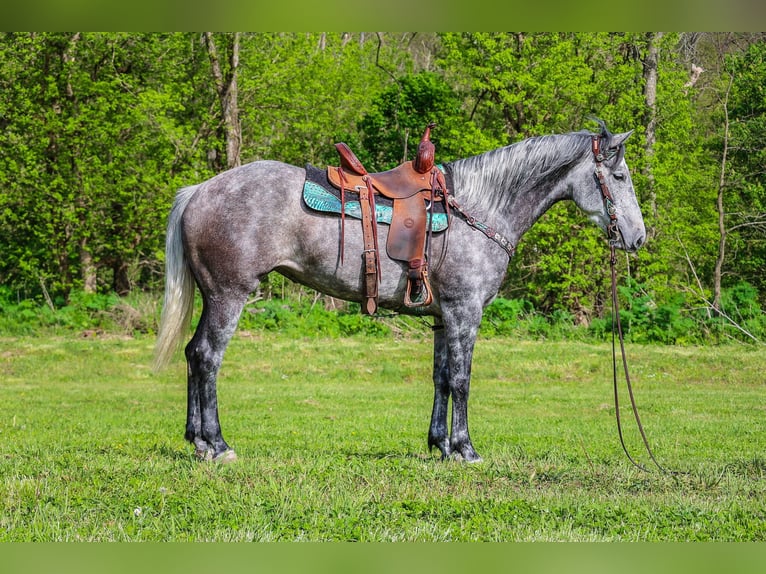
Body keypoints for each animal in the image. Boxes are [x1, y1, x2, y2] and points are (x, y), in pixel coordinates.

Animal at [153, 121, 644, 464]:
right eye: (619, 176)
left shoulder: (444, 317)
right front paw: (465, 449)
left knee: (194, 354)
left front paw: (440, 445)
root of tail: (200, 189)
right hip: (230, 296)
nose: (637, 238)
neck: (480, 208)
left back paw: (197, 441)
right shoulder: (465, 312)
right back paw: (218, 445)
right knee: (208, 358)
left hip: (214, 296)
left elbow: (442, 377)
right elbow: (462, 379)